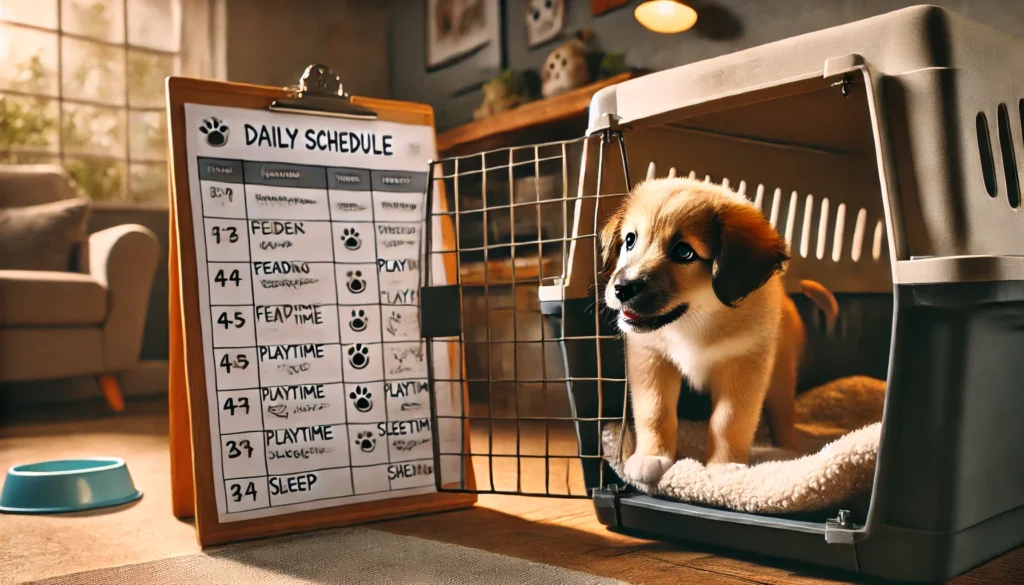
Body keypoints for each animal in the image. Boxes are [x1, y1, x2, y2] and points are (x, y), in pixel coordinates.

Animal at [602, 176, 835, 483]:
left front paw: (724, 465)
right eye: (630, 240)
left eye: (684, 251)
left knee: (783, 414)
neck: (696, 322)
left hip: (781, 375)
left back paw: (789, 449)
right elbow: (656, 411)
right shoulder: (651, 358)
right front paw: (651, 457)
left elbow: (729, 420)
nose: (622, 289)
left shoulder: (744, 365)